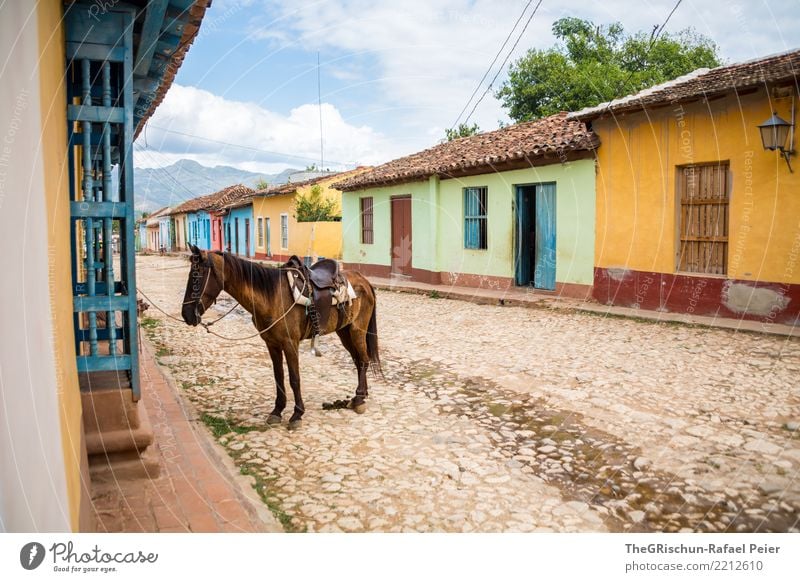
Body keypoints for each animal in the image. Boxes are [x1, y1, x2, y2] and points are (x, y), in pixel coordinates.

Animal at [181, 244, 382, 432]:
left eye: (197, 277)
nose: (186, 314)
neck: (272, 297)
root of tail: (364, 280)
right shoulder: (272, 344)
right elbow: (278, 376)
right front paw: (277, 411)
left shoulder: (290, 344)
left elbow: (294, 378)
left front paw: (297, 414)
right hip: (344, 331)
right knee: (358, 361)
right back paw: (359, 396)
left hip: (357, 330)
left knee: (363, 360)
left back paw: (359, 399)